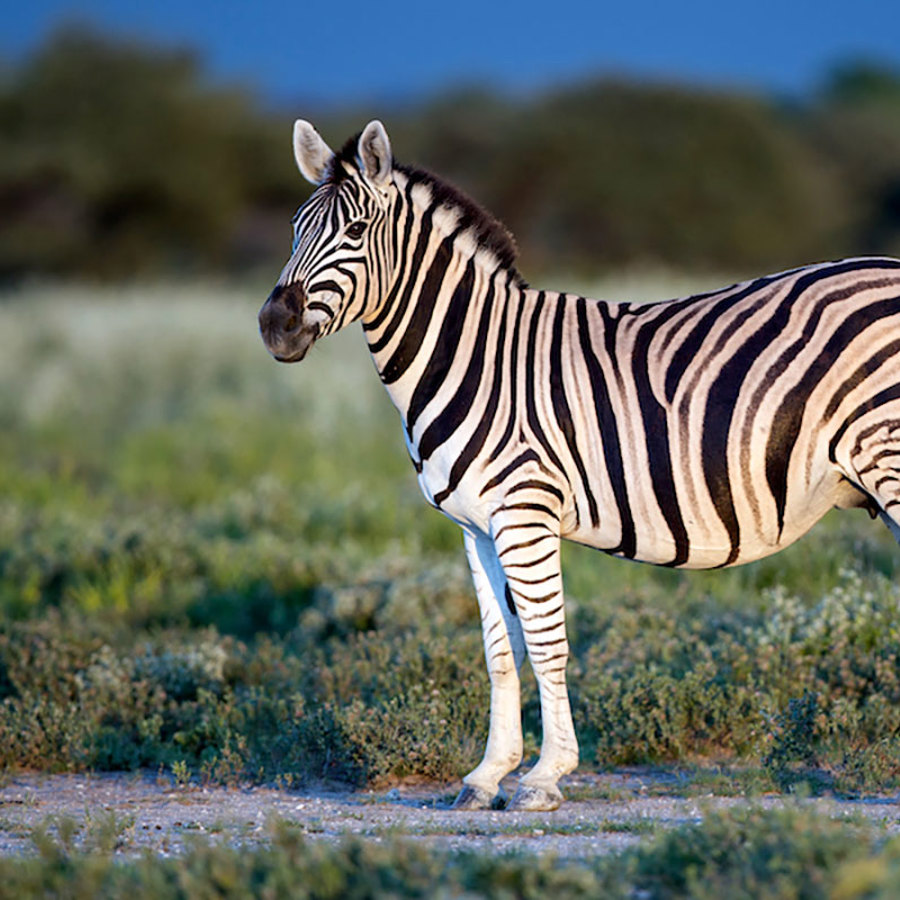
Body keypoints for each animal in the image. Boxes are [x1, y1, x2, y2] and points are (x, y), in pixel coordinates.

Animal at [258, 116, 900, 812]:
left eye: (354, 232)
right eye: (293, 229)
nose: (274, 325)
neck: (475, 354)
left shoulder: (525, 510)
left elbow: (547, 644)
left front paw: (545, 776)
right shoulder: (475, 527)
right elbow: (500, 650)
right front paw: (487, 775)